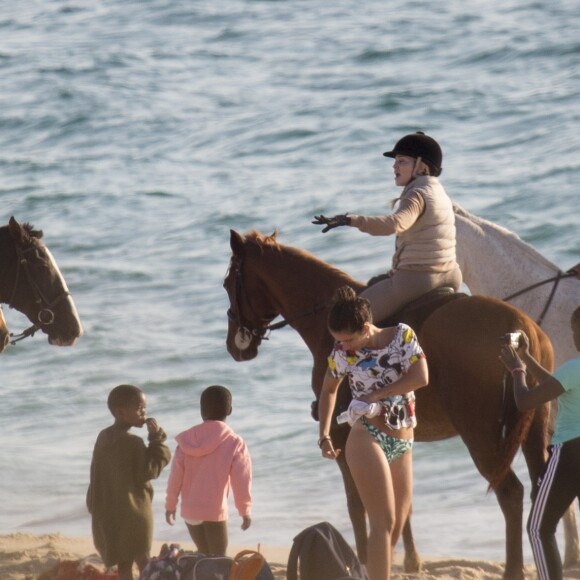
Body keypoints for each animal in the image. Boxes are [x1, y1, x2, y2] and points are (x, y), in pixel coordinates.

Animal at [224, 229, 556, 576]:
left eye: (227, 284)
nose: (235, 345)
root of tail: (518, 328)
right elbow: (398, 501)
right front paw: (409, 560)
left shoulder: (343, 439)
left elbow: (357, 505)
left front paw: (364, 559)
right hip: (533, 427)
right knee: (541, 489)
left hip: (481, 437)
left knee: (511, 493)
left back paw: (514, 569)